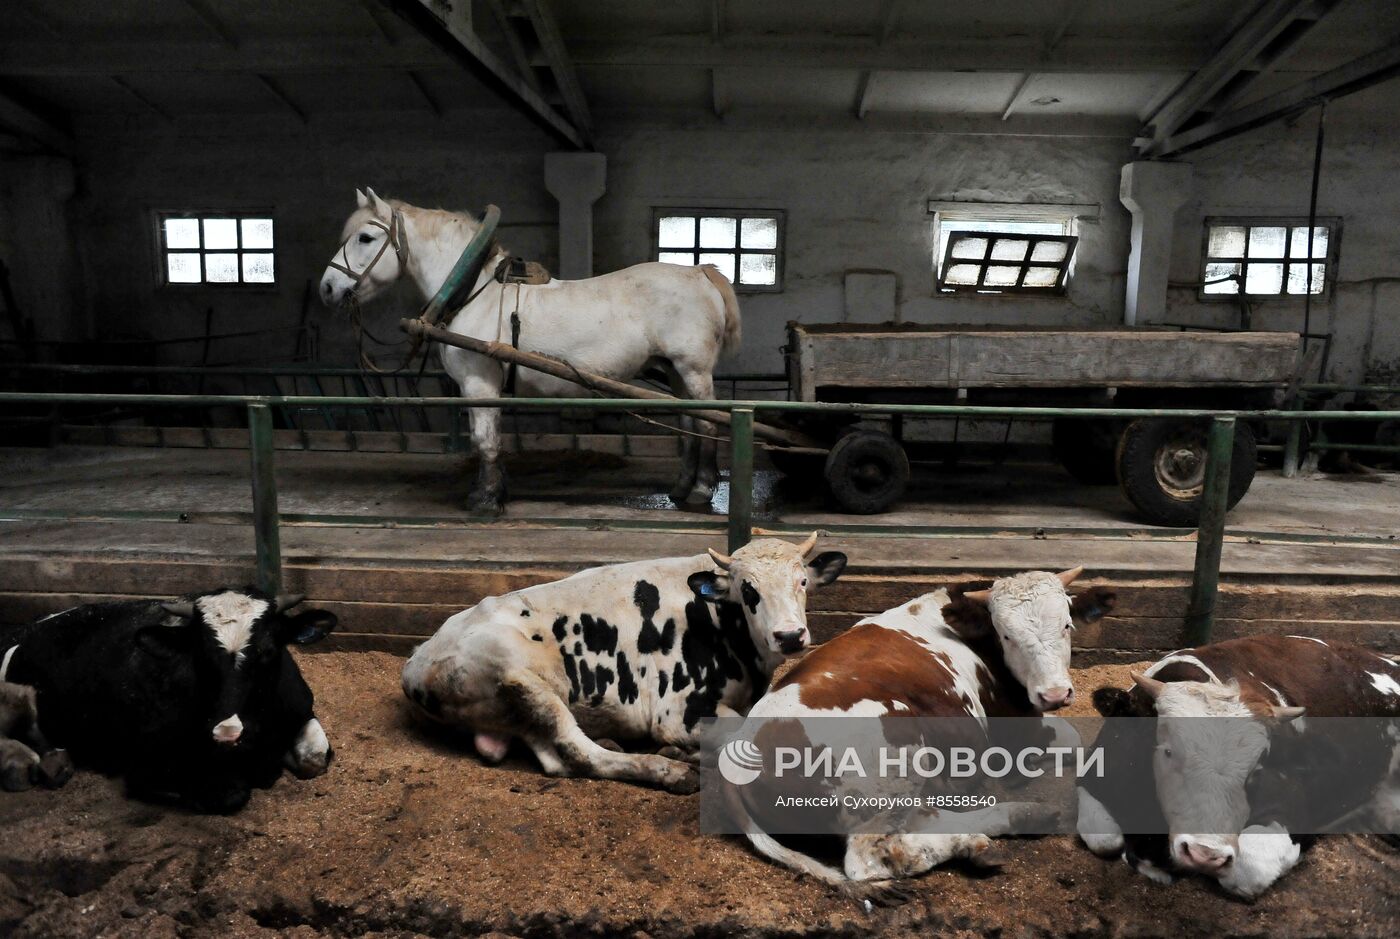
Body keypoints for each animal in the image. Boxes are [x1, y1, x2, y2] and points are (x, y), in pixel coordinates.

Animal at [0, 587, 338, 817]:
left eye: (268, 651)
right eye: (200, 655)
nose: (227, 732)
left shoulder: (301, 708)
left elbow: (314, 759)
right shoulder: (145, 762)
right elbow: (228, 793)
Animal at [320, 190, 744, 514]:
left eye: (365, 238)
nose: (327, 288)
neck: (474, 292)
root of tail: (700, 272)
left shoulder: (479, 382)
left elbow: (486, 440)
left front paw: (486, 501)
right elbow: (486, 438)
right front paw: (492, 491)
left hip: (693, 369)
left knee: (708, 422)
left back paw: (701, 491)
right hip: (674, 370)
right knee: (690, 423)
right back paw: (681, 488)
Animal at [400, 531, 845, 789]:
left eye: (802, 581)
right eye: (748, 589)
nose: (790, 635)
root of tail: (416, 663)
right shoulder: (678, 712)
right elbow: (741, 735)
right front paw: (683, 755)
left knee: (555, 756)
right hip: (523, 677)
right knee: (576, 752)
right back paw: (670, 771)